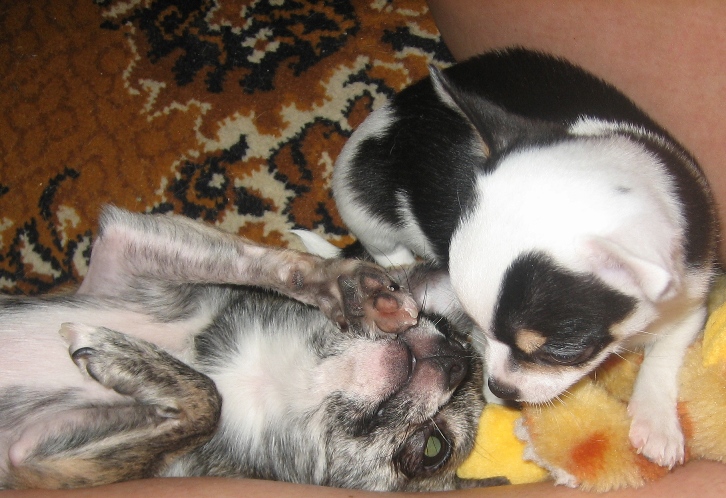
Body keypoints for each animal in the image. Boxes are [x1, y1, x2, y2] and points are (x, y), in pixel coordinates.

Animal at [0, 206, 503, 491]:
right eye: (444, 326)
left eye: (433, 448)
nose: (455, 360)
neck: (270, 380)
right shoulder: (126, 249)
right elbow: (268, 262)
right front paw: (344, 285)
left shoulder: (33, 461)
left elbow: (204, 400)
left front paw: (125, 359)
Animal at [331, 48, 718, 469]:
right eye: (478, 327)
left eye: (562, 352)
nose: (499, 387)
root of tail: (392, 109)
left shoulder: (692, 296)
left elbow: (665, 351)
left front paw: (657, 421)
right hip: (362, 207)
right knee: (386, 247)